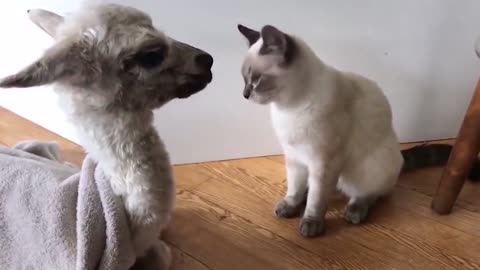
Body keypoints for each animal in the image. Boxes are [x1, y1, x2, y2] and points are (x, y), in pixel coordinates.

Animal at [237, 24, 480, 237]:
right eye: (244, 79)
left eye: (257, 79)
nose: (245, 95)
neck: (287, 108)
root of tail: (399, 156)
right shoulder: (294, 157)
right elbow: (295, 189)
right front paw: (290, 206)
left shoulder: (323, 162)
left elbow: (317, 199)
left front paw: (311, 224)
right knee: (326, 188)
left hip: (367, 168)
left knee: (368, 193)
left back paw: (354, 212)